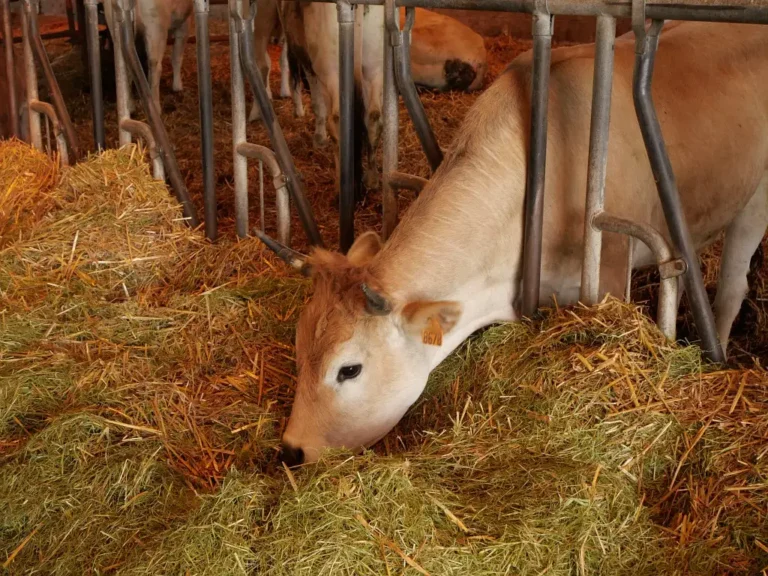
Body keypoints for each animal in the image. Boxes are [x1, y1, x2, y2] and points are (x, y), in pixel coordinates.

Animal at [257, 21, 768, 466]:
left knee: (730, 291)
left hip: (754, 203)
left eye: (349, 370)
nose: (292, 450)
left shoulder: (608, 271)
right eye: (298, 347)